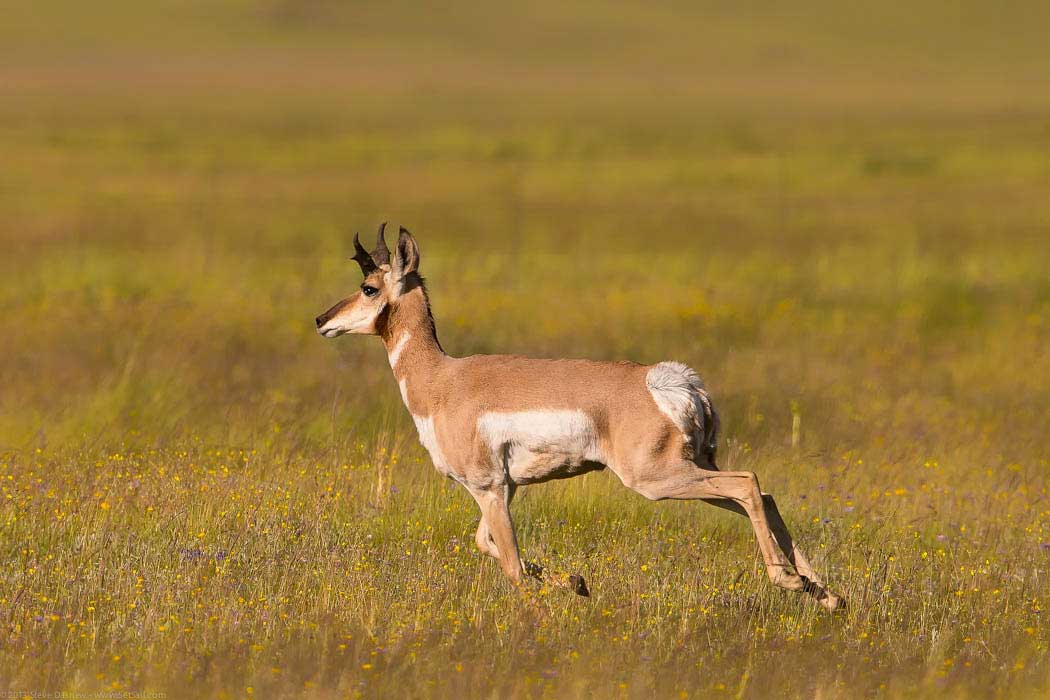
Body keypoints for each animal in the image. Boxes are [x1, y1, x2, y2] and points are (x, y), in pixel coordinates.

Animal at [312, 225, 844, 612]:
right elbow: (488, 546)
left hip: (656, 478)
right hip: (693, 469)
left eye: (368, 287)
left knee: (748, 483)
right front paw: (577, 581)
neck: (443, 379)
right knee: (764, 494)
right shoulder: (504, 489)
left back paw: (789, 581)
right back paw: (826, 594)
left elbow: (511, 566)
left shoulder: (488, 487)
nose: (321, 320)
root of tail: (670, 380)